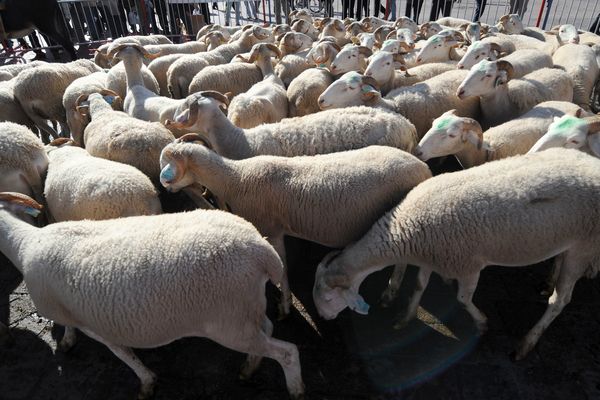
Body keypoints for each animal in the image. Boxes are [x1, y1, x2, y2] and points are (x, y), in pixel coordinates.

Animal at [0, 192, 304, 398]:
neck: (25, 244)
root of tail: (261, 249)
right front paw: (67, 341)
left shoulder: (94, 323)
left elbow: (123, 353)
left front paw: (146, 382)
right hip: (246, 309)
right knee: (267, 328)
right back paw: (249, 369)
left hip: (229, 324)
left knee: (287, 352)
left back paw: (295, 389)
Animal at [159, 139, 432, 318]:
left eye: (168, 164)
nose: (165, 187)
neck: (237, 179)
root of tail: (424, 169)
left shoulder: (272, 230)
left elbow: (282, 268)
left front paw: (285, 305)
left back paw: (391, 291)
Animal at [312, 148, 600, 362]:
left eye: (328, 297)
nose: (324, 318)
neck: (405, 228)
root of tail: (592, 164)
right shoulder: (432, 255)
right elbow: (419, 285)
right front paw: (406, 317)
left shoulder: (468, 264)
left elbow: (462, 299)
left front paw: (482, 323)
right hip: (569, 240)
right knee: (559, 262)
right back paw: (549, 281)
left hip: (584, 244)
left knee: (560, 301)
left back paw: (526, 342)